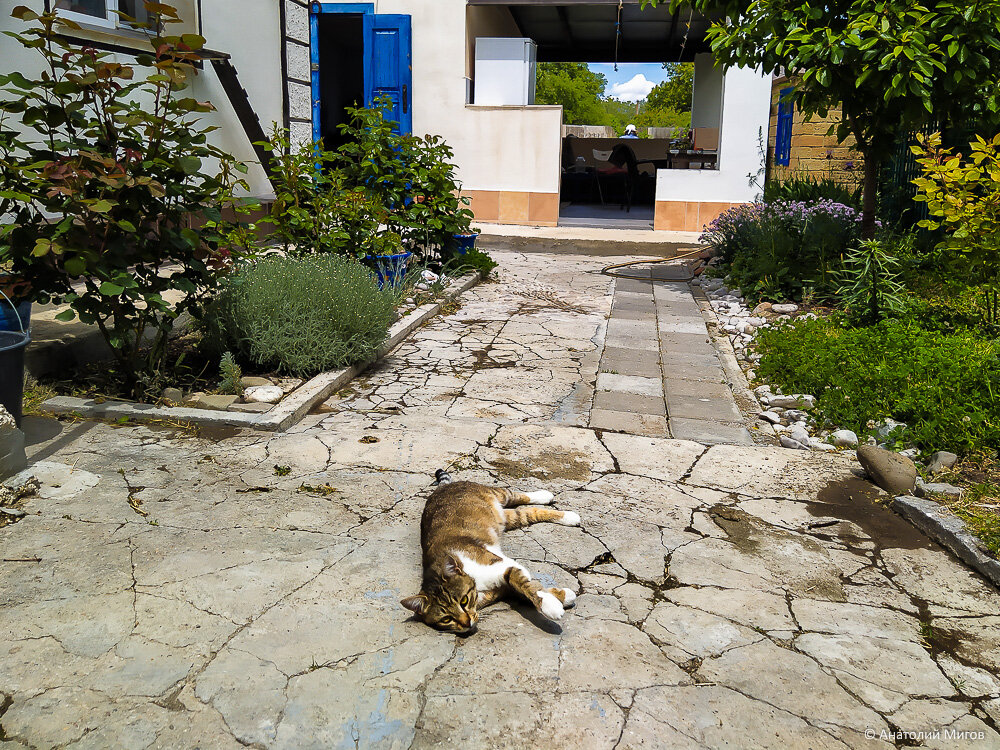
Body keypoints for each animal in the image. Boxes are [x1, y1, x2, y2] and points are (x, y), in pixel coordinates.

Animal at [402, 472, 584, 636]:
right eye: (446, 619)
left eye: (463, 601)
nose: (467, 624)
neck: (476, 583)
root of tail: (441, 487)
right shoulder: (501, 588)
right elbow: (525, 589)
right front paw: (563, 596)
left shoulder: (502, 564)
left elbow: (525, 585)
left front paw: (550, 605)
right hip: (506, 518)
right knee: (528, 512)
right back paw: (563, 513)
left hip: (498, 495)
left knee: (517, 496)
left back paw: (558, 506)